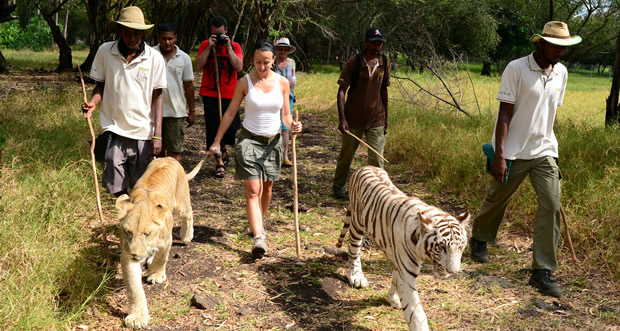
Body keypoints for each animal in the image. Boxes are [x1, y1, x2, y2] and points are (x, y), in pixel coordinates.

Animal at [336, 167, 468, 330]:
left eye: (460, 247)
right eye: (442, 247)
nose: (452, 272)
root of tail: (364, 167)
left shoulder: (400, 264)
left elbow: (395, 279)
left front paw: (392, 298)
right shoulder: (407, 274)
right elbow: (416, 314)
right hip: (357, 224)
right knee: (354, 251)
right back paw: (357, 277)